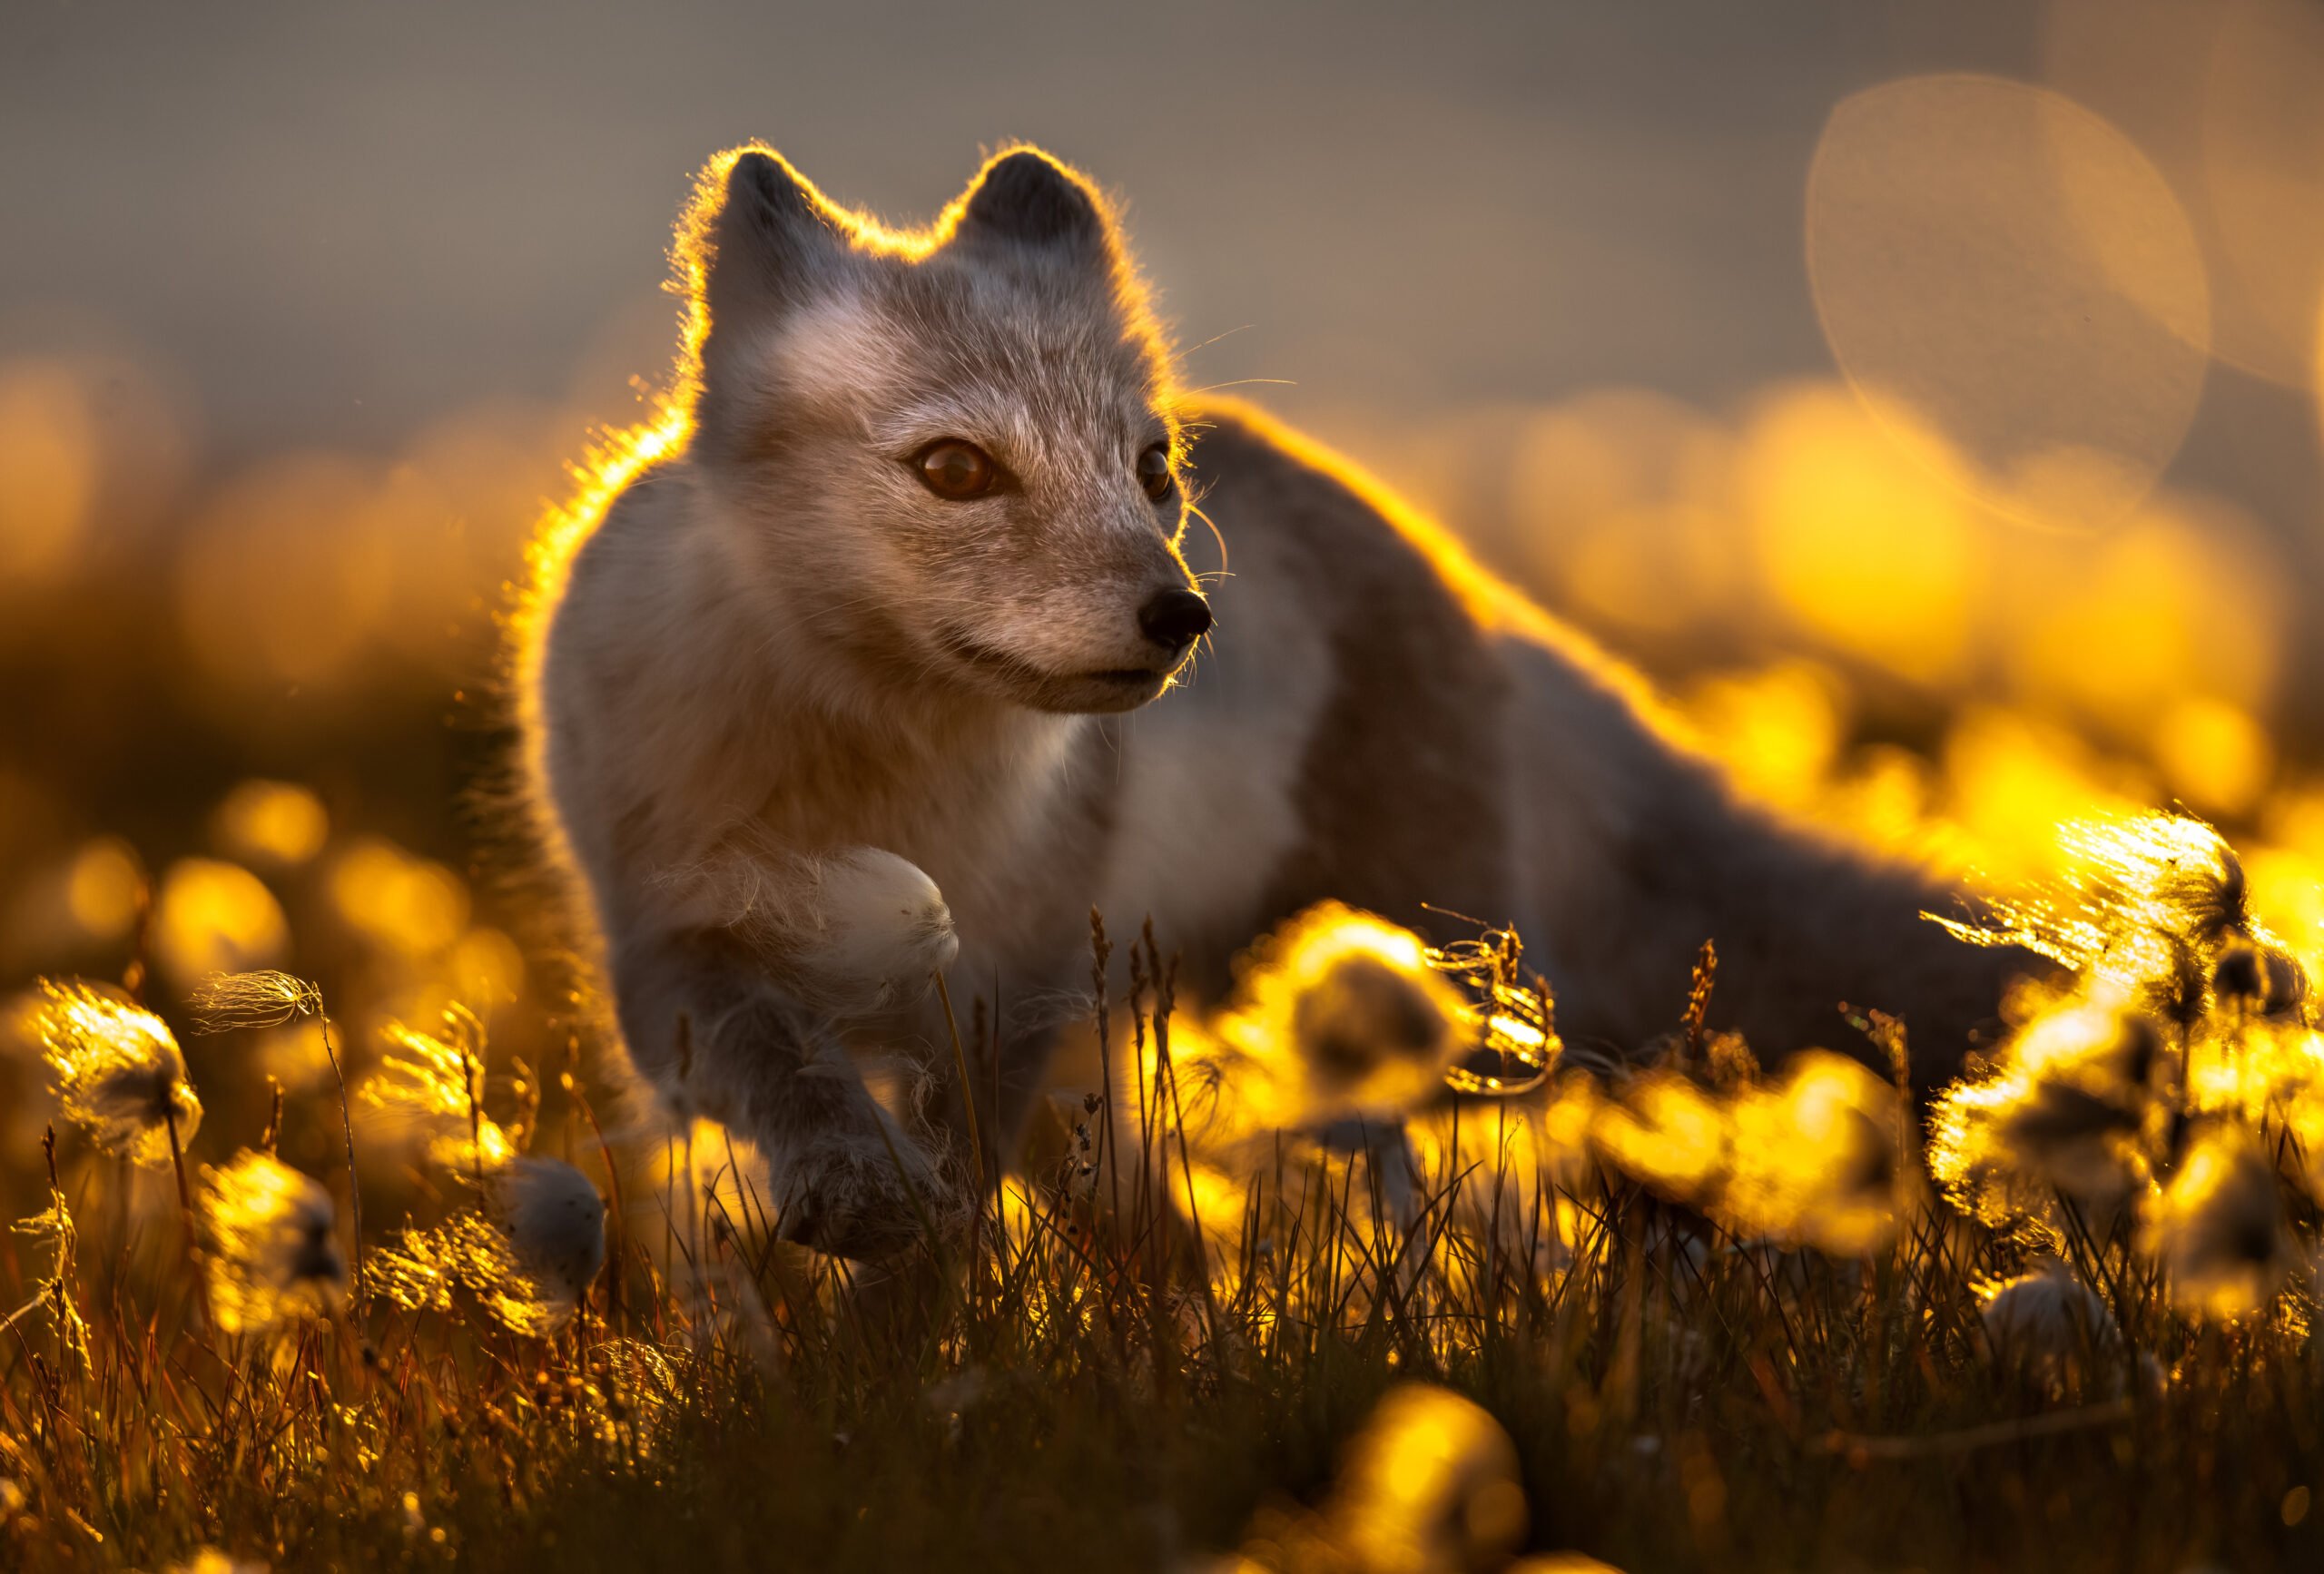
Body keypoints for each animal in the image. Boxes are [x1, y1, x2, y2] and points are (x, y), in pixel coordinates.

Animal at [523, 143, 2035, 1255]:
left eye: (1149, 467)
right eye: (956, 470)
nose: (1181, 615)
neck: (875, 772)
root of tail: (1466, 587)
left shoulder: (1006, 984)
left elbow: (952, 1196)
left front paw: (920, 1310)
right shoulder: (668, 947)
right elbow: (787, 1063)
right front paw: (856, 1191)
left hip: (1401, 997)